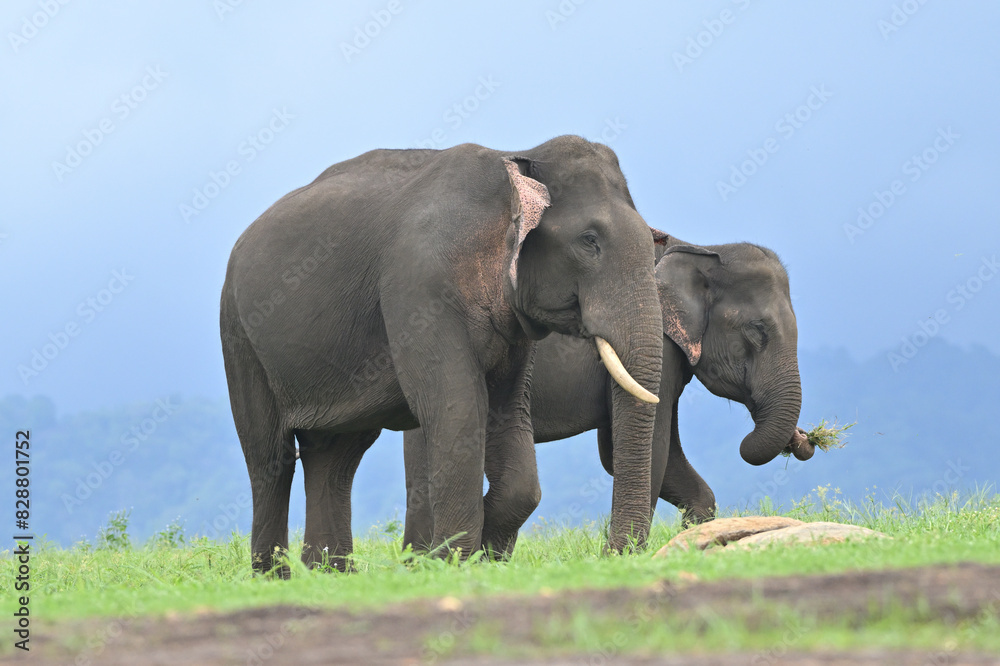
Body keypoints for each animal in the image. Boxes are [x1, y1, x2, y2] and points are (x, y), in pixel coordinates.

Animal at [220, 135, 664, 574]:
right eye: (589, 242)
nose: (610, 553)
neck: (515, 159)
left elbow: (509, 411)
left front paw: (477, 556)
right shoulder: (420, 287)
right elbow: (457, 406)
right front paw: (449, 561)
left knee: (336, 455)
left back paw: (329, 573)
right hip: (239, 334)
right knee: (270, 456)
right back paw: (274, 577)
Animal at [403, 232, 812, 548]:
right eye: (757, 331)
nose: (804, 440)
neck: (703, 249)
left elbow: (644, 452)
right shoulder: (658, 343)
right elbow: (646, 447)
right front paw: (624, 554)